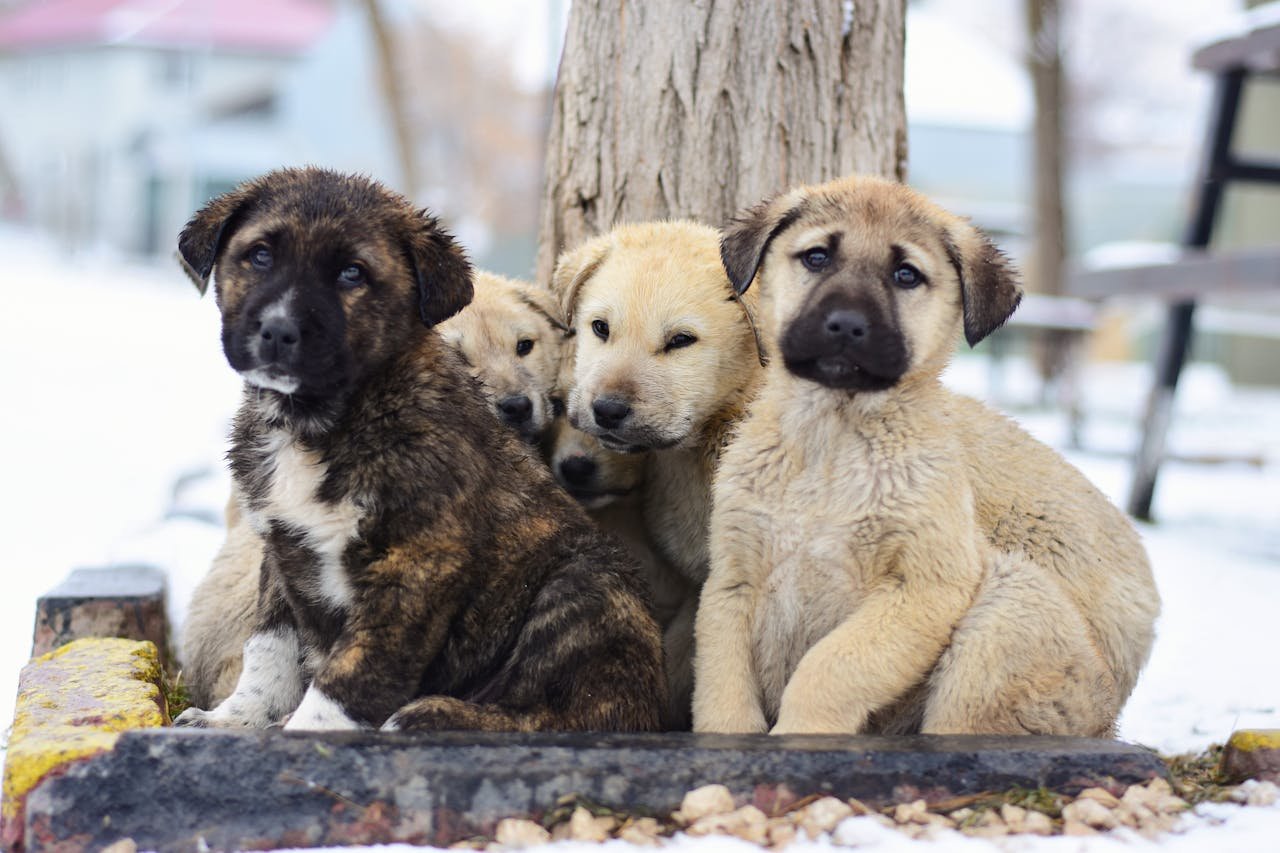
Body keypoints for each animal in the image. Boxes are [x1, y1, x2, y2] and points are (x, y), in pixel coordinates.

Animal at [171, 167, 665, 732]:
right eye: (259, 256)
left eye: (353, 273)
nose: (277, 330)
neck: (316, 422)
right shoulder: (281, 549)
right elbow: (268, 648)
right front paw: (238, 718)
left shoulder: (416, 563)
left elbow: (354, 670)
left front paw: (305, 731)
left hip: (587, 584)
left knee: (561, 713)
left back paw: (433, 715)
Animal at [696, 175, 1157, 732]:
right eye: (816, 257)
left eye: (906, 275)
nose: (845, 325)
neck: (831, 439)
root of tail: (1108, 720)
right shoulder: (731, 581)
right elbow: (722, 689)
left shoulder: (924, 586)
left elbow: (828, 667)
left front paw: (800, 733)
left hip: (1010, 608)